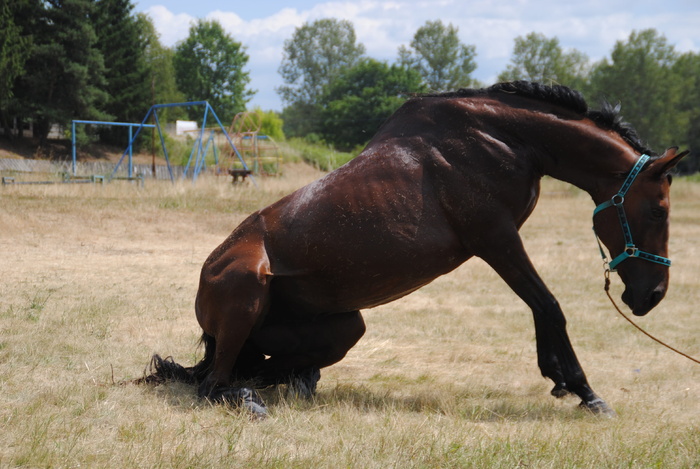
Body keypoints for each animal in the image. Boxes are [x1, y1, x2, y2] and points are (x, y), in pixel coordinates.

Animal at [141, 82, 684, 414]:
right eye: (659, 210)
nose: (652, 295)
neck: (500, 137)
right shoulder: (496, 239)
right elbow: (549, 305)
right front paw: (584, 390)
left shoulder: (501, 241)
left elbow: (541, 307)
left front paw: (559, 377)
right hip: (248, 290)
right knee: (214, 385)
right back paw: (251, 400)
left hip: (346, 326)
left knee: (254, 370)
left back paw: (295, 383)